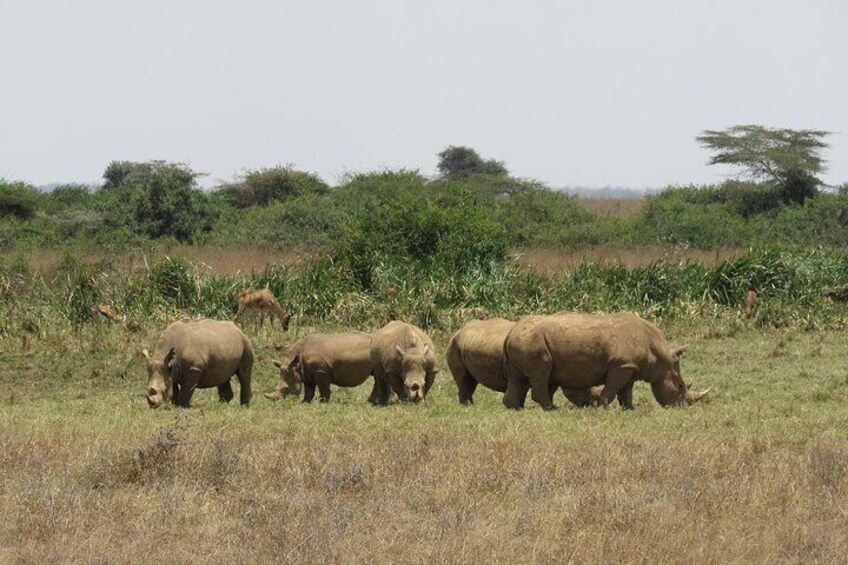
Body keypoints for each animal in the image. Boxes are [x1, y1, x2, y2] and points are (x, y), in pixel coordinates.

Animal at [504, 312, 708, 410]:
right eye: (680, 386)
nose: (682, 407)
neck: (659, 356)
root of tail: (510, 332)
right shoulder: (621, 366)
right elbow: (612, 389)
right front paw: (603, 408)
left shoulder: (630, 367)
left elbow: (626, 391)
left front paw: (630, 409)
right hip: (533, 342)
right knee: (541, 373)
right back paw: (552, 409)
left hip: (523, 339)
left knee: (518, 378)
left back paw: (515, 408)